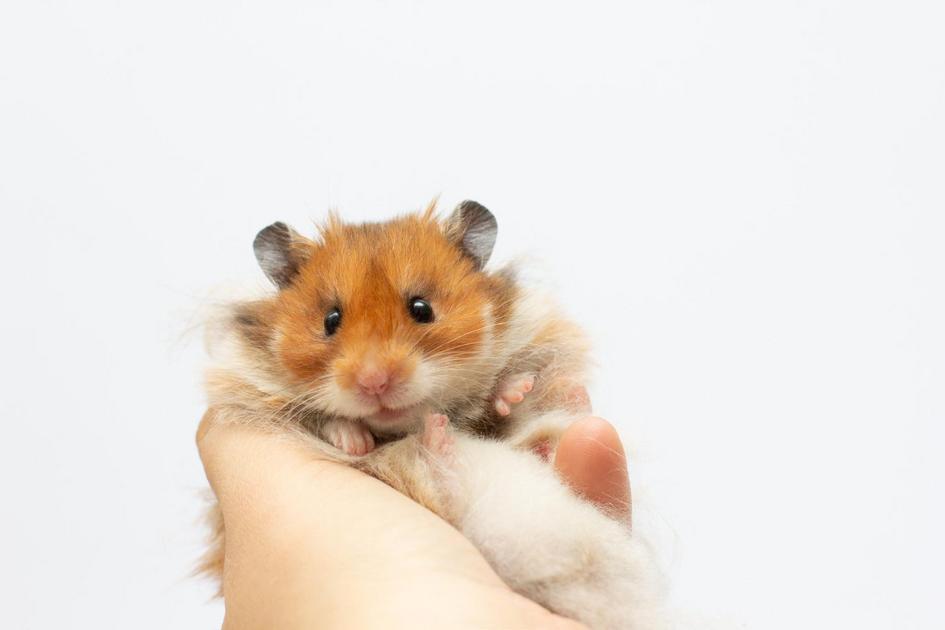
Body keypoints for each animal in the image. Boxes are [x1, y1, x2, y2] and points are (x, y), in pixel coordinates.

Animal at [200, 200, 667, 629]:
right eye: (331, 319)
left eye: (421, 308)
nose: (375, 381)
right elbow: (326, 421)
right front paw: (356, 439)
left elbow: (501, 407)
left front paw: (514, 391)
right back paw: (436, 439)